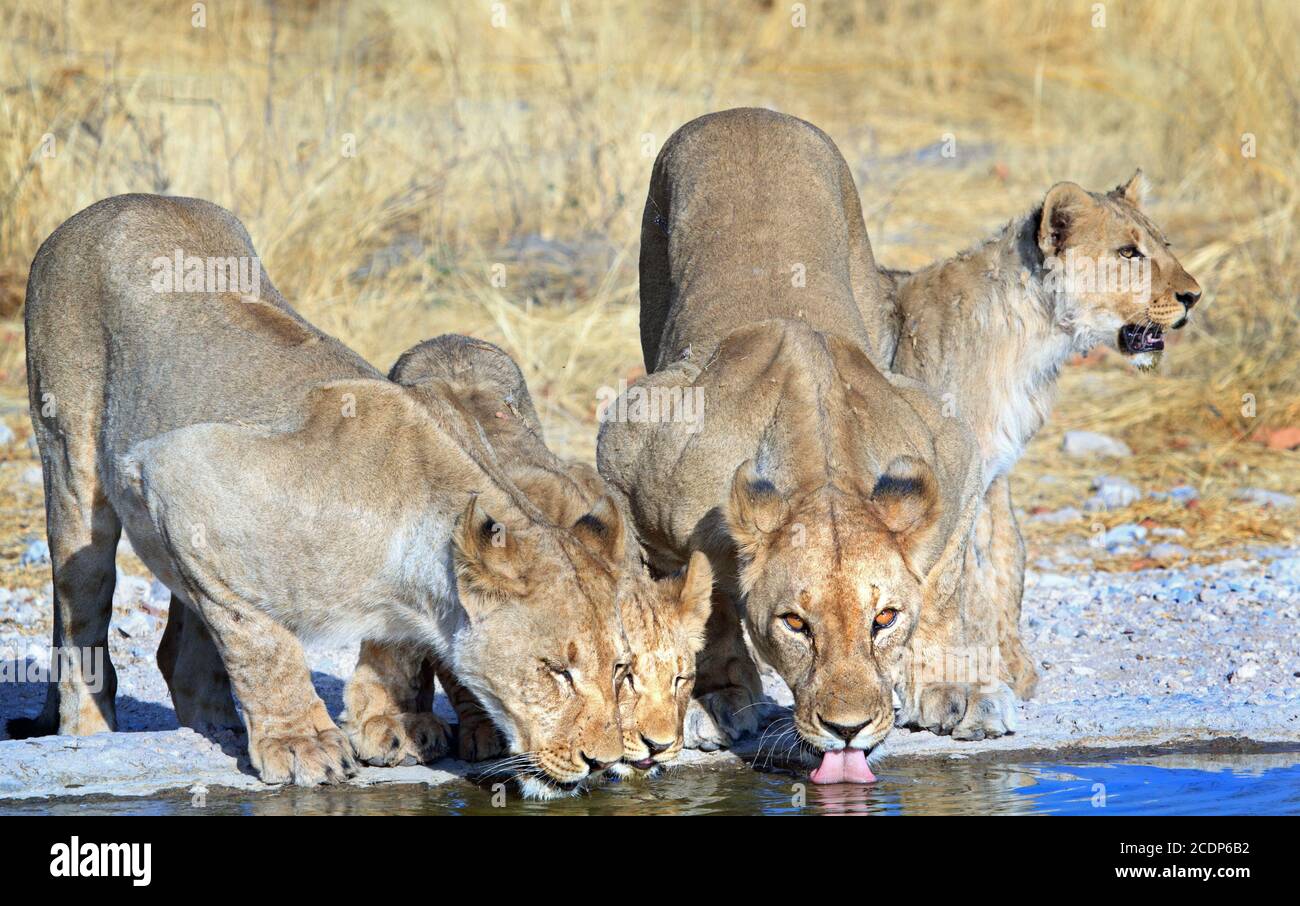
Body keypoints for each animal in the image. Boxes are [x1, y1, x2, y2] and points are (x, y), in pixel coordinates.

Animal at [8, 194, 629, 795]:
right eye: (556, 670)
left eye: (620, 670)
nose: (601, 762)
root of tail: (100, 209)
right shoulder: (177, 468)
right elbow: (260, 636)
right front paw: (301, 742)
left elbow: (395, 644)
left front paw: (390, 726)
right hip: (71, 459)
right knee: (84, 609)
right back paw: (90, 731)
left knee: (184, 650)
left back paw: (217, 725)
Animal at [595, 103, 993, 779]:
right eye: (795, 624)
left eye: (884, 618)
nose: (848, 730)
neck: (820, 467)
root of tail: (745, 110)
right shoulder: (630, 447)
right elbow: (707, 605)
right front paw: (720, 699)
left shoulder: (950, 444)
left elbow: (943, 580)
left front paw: (948, 690)